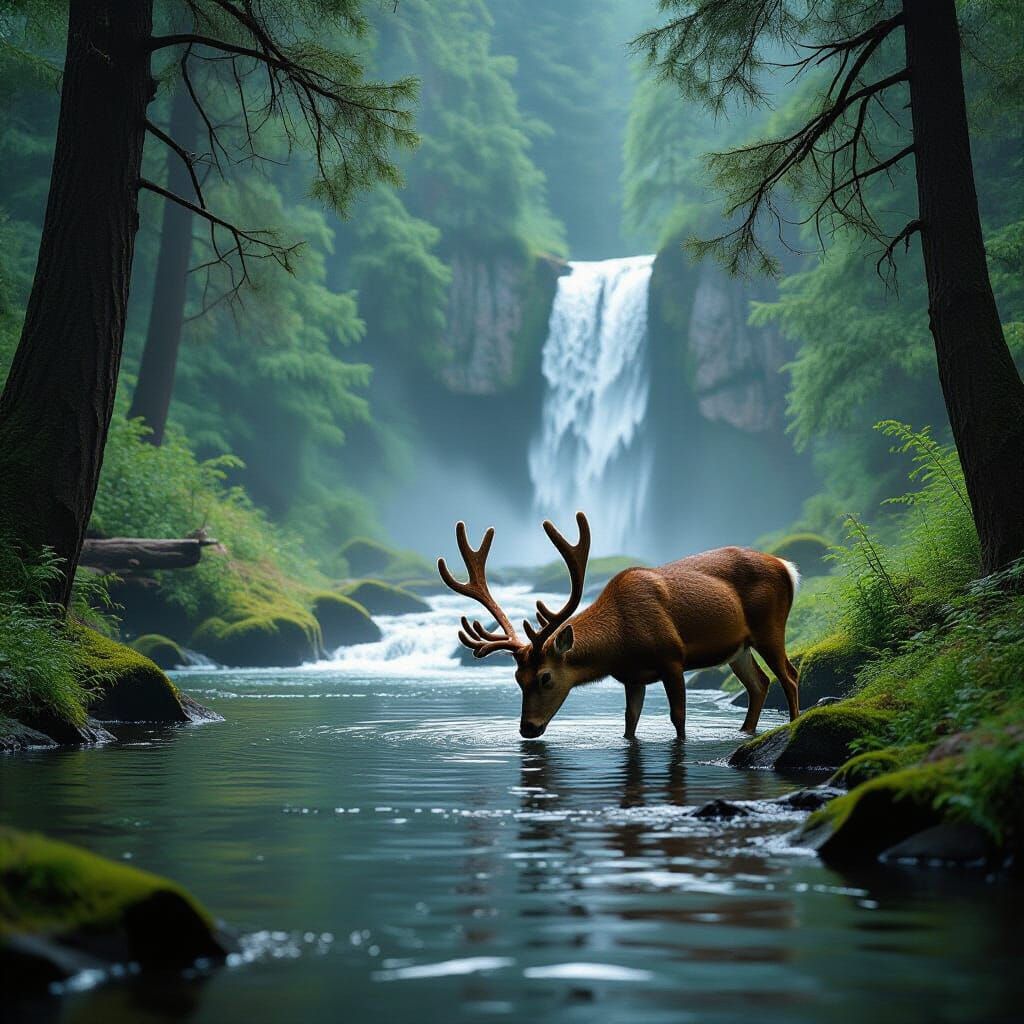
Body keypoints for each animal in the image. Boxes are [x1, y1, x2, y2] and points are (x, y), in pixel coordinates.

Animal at [438, 512, 801, 741]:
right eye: (517, 678)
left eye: (545, 677)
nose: (527, 728)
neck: (621, 642)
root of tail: (787, 567)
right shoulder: (631, 678)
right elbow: (629, 725)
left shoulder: (672, 657)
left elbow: (678, 718)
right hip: (739, 648)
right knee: (759, 684)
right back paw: (745, 732)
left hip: (770, 626)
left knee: (789, 675)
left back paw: (793, 723)